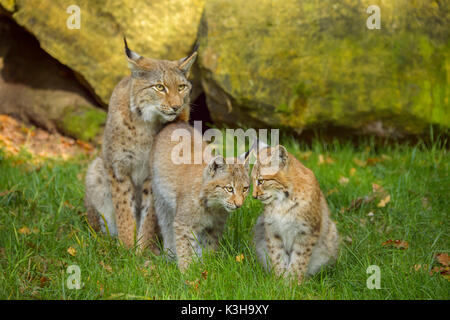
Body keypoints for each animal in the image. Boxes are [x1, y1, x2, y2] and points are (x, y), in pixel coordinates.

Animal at [84, 38, 197, 251]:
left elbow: (149, 214)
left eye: (181, 87)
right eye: (159, 87)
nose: (177, 106)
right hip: (96, 168)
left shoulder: (153, 174)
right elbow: (124, 210)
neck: (145, 123)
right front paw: (127, 248)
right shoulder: (118, 167)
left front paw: (142, 249)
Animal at [143, 122, 250, 270]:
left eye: (245, 189)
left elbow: (209, 246)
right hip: (161, 200)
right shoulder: (183, 224)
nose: (239, 205)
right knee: (167, 227)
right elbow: (185, 248)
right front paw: (186, 271)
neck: (213, 205)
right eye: (229, 189)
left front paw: (208, 265)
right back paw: (170, 255)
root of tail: (175, 123)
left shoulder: (215, 226)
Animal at [253, 144, 338, 284]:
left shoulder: (306, 232)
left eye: (261, 181)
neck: (282, 202)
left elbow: (299, 261)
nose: (254, 196)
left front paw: (293, 284)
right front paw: (279, 281)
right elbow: (277, 256)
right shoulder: (272, 231)